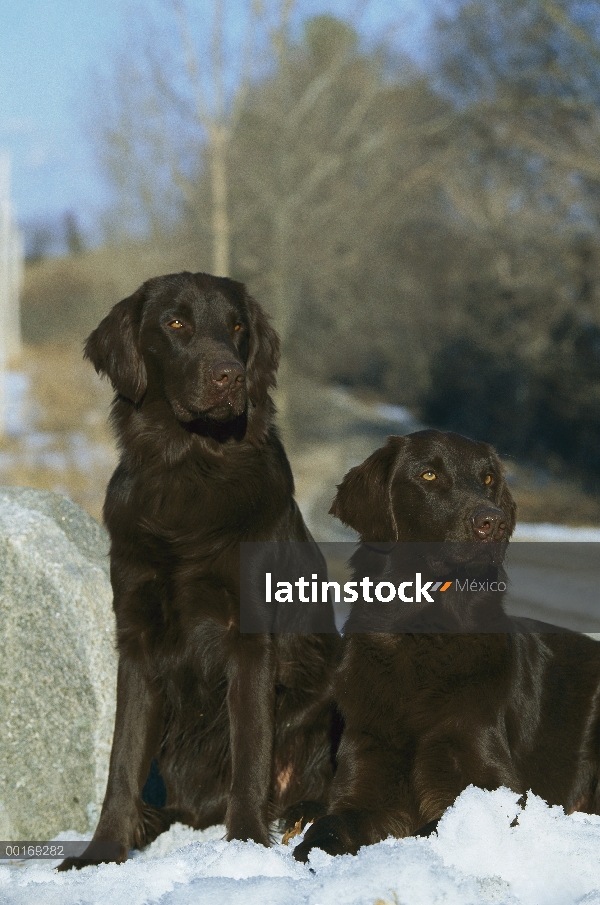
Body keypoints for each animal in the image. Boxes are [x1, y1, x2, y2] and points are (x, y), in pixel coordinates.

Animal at [58, 270, 340, 868]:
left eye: (236, 327)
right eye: (175, 323)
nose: (230, 375)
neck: (189, 467)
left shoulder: (249, 638)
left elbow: (251, 748)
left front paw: (245, 845)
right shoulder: (136, 637)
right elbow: (121, 762)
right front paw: (102, 851)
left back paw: (301, 813)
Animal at [294, 428, 600, 860]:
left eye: (488, 478)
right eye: (428, 475)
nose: (494, 522)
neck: (423, 637)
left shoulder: (499, 788)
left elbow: (434, 828)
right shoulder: (366, 764)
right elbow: (331, 825)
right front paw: (309, 852)